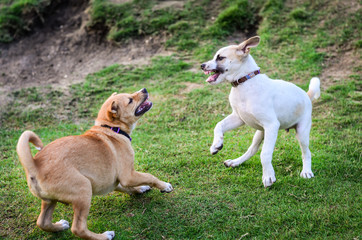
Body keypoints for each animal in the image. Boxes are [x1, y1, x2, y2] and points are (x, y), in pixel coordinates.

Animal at [17, 88, 173, 240]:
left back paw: (59, 226)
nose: (144, 89)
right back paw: (104, 236)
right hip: (83, 190)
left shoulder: (113, 180)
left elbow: (127, 188)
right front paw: (165, 186)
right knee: (78, 228)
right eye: (130, 100)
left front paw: (141, 188)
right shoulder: (128, 175)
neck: (111, 128)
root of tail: (35, 165)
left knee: (42, 222)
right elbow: (149, 176)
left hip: (50, 201)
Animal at [201, 36, 320, 188]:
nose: (202, 65)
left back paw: (306, 171)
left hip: (301, 132)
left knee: (306, 152)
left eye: (220, 57)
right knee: (252, 150)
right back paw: (236, 162)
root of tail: (306, 95)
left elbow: (265, 154)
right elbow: (218, 125)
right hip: (260, 132)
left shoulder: (272, 125)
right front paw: (216, 145)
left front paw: (268, 176)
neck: (244, 83)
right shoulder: (239, 118)